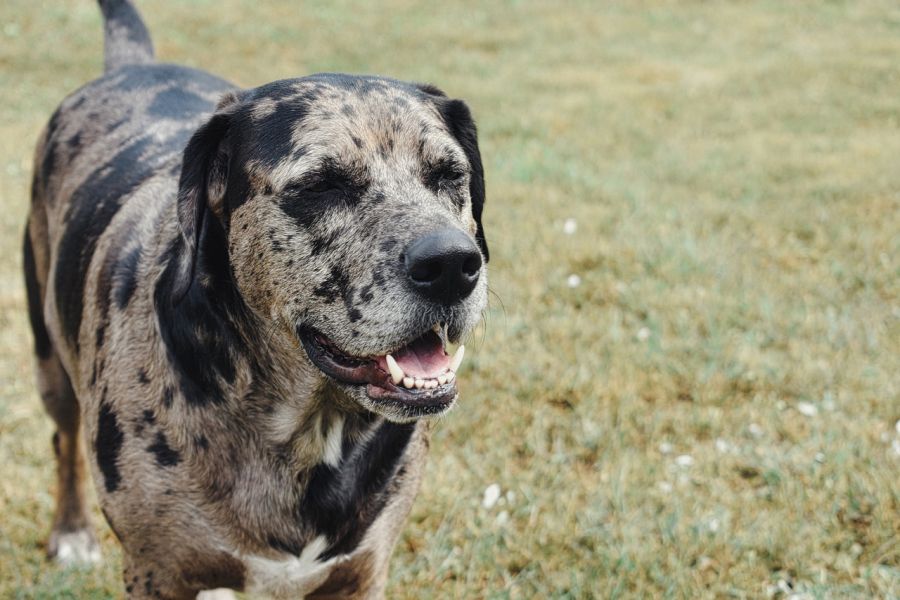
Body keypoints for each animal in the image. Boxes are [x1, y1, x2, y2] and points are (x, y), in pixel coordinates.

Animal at [24, 1, 488, 596]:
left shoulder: (361, 574)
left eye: (449, 174)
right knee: (63, 440)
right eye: (321, 185)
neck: (307, 428)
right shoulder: (157, 573)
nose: (451, 265)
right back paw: (72, 531)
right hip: (50, 361)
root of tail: (132, 66)